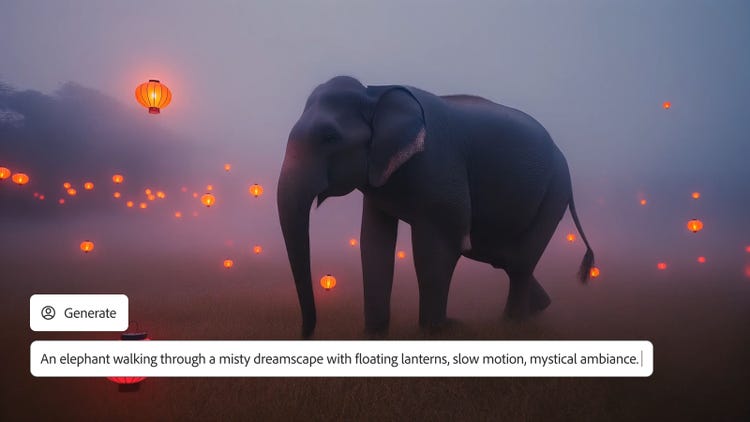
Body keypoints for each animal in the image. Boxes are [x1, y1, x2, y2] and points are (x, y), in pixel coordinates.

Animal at [278, 76, 594, 338]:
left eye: (330, 138)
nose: (307, 333)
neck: (375, 93)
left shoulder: (440, 167)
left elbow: (437, 247)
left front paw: (438, 330)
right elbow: (374, 243)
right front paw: (375, 333)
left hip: (553, 194)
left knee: (518, 262)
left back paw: (512, 325)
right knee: (502, 257)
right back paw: (539, 309)